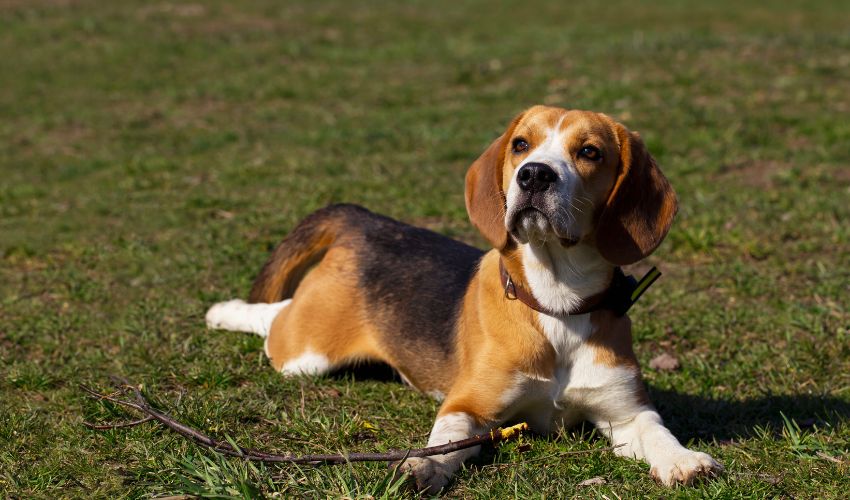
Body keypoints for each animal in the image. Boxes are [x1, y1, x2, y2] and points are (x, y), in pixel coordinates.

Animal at [205, 104, 724, 492]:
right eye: (521, 145)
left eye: (590, 152)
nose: (534, 175)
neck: (555, 303)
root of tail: (365, 221)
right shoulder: (467, 406)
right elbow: (444, 440)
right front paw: (421, 466)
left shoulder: (626, 413)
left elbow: (657, 430)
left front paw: (684, 461)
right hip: (307, 352)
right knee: (275, 317)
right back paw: (222, 311)